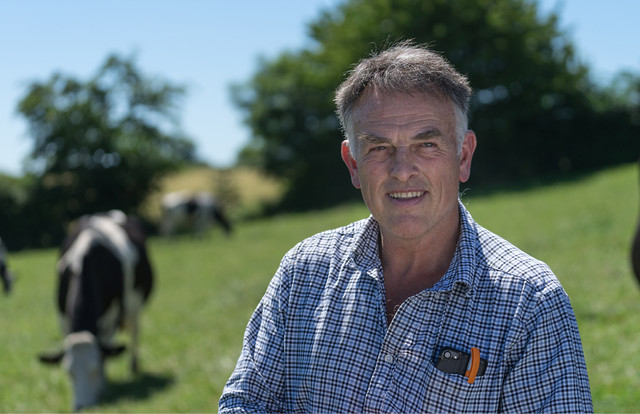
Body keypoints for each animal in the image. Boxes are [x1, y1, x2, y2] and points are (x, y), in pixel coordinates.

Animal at [40, 212, 155, 412]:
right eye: (69, 372)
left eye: (93, 370)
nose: (81, 407)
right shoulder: (62, 318)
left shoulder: (110, 318)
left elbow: (105, 353)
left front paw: (102, 385)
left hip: (135, 305)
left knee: (134, 332)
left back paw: (133, 367)